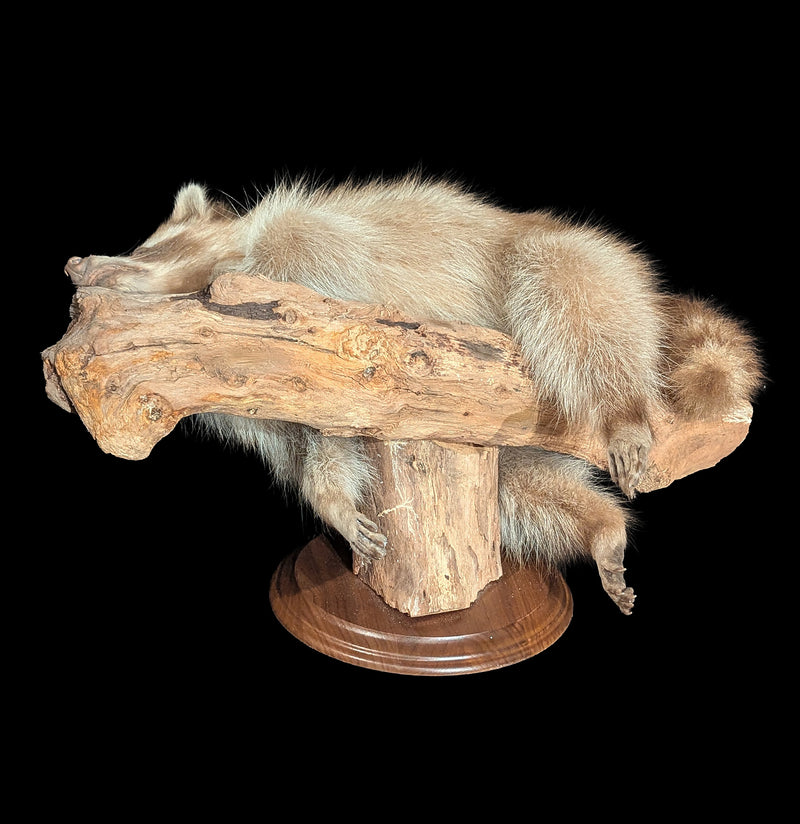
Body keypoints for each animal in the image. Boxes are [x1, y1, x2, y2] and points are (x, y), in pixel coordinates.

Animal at [64, 177, 763, 613]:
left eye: (139, 254)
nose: (76, 264)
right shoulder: (276, 384)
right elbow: (325, 437)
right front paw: (333, 500)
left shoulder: (313, 258)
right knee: (522, 487)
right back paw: (602, 528)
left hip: (577, 264)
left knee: (571, 297)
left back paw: (624, 411)